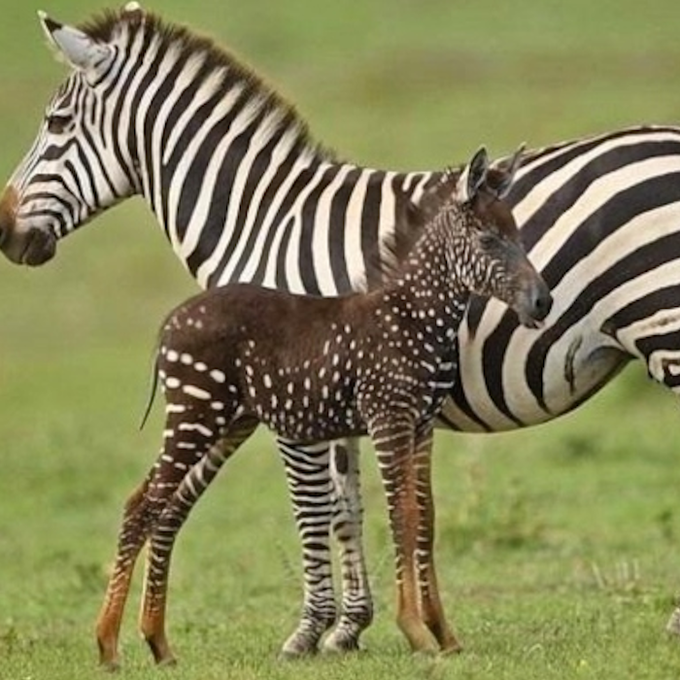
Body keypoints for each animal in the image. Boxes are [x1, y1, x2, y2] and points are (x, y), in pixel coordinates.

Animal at [95, 150, 550, 667]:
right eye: (489, 240)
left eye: (518, 234)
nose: (543, 301)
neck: (414, 315)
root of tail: (171, 321)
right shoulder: (389, 418)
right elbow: (401, 515)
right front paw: (415, 631)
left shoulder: (421, 426)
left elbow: (425, 517)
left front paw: (444, 634)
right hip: (196, 413)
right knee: (144, 506)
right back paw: (108, 645)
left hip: (225, 421)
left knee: (159, 505)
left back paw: (157, 642)